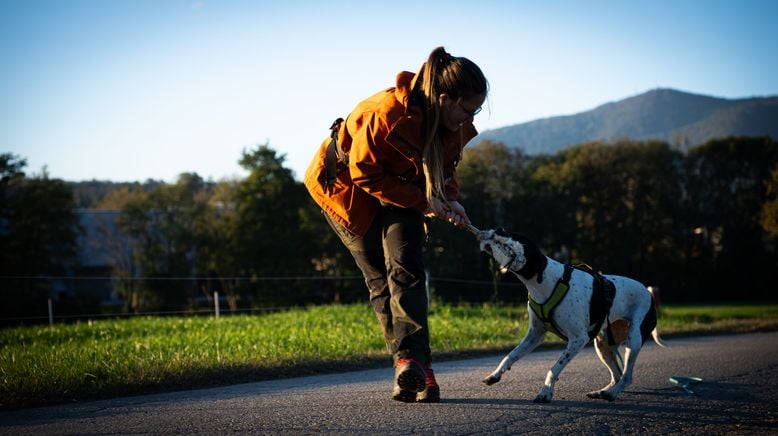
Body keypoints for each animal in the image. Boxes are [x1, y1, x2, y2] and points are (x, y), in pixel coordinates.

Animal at [470, 228, 664, 402]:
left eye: (509, 240)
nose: (495, 229)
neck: (545, 281)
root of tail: (648, 293)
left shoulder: (578, 339)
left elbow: (554, 368)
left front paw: (546, 392)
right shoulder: (535, 335)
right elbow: (510, 355)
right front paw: (495, 375)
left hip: (633, 339)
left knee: (627, 376)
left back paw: (611, 394)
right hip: (603, 344)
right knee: (616, 375)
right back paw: (602, 392)